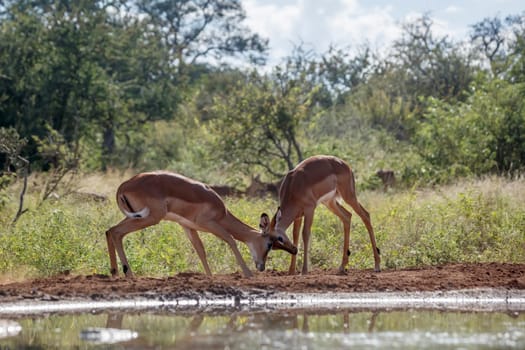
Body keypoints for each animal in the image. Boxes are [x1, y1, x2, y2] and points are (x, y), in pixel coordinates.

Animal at [104, 171, 296, 278]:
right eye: (271, 242)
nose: (261, 267)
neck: (222, 211)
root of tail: (123, 186)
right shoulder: (210, 223)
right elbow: (231, 240)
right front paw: (248, 274)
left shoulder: (188, 227)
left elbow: (200, 250)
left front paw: (210, 277)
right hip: (150, 218)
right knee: (117, 232)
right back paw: (129, 274)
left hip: (137, 217)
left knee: (110, 230)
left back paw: (114, 273)